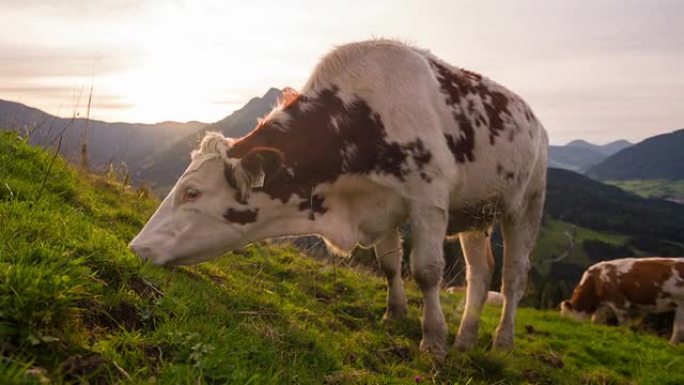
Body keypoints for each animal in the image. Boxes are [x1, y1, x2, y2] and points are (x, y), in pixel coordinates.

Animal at [130, 39, 552, 360]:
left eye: (192, 192)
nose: (136, 247)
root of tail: (534, 118)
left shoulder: (428, 199)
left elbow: (426, 271)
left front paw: (433, 340)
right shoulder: (383, 205)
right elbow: (389, 265)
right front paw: (394, 314)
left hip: (527, 203)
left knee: (514, 277)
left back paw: (501, 341)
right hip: (476, 213)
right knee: (479, 273)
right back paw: (466, 338)